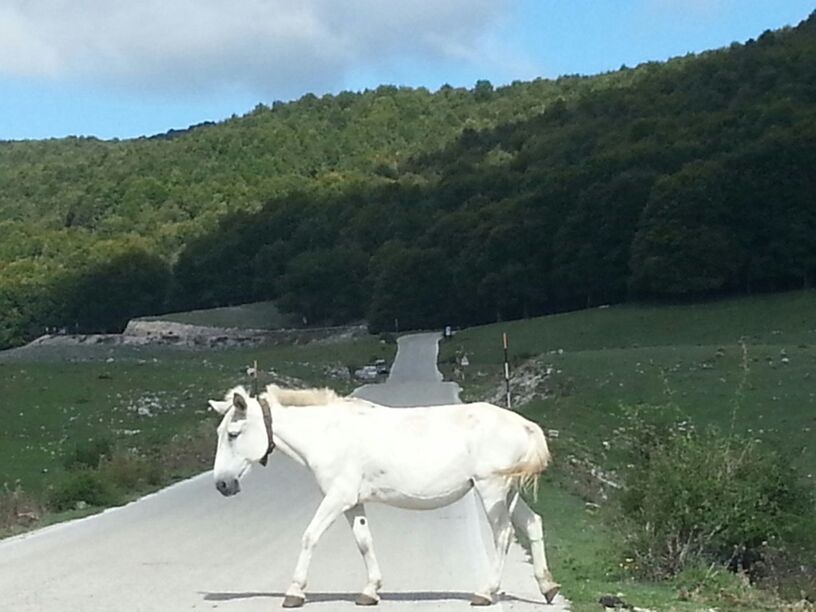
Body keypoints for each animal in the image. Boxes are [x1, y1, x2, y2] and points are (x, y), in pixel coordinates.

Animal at [209, 384, 560, 604]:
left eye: (233, 434)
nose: (222, 485)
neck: (328, 433)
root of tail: (525, 426)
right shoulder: (353, 502)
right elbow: (364, 542)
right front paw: (370, 590)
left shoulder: (337, 498)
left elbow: (310, 536)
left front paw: (294, 592)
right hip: (509, 492)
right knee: (533, 523)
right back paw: (547, 587)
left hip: (491, 490)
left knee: (503, 534)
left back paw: (486, 592)